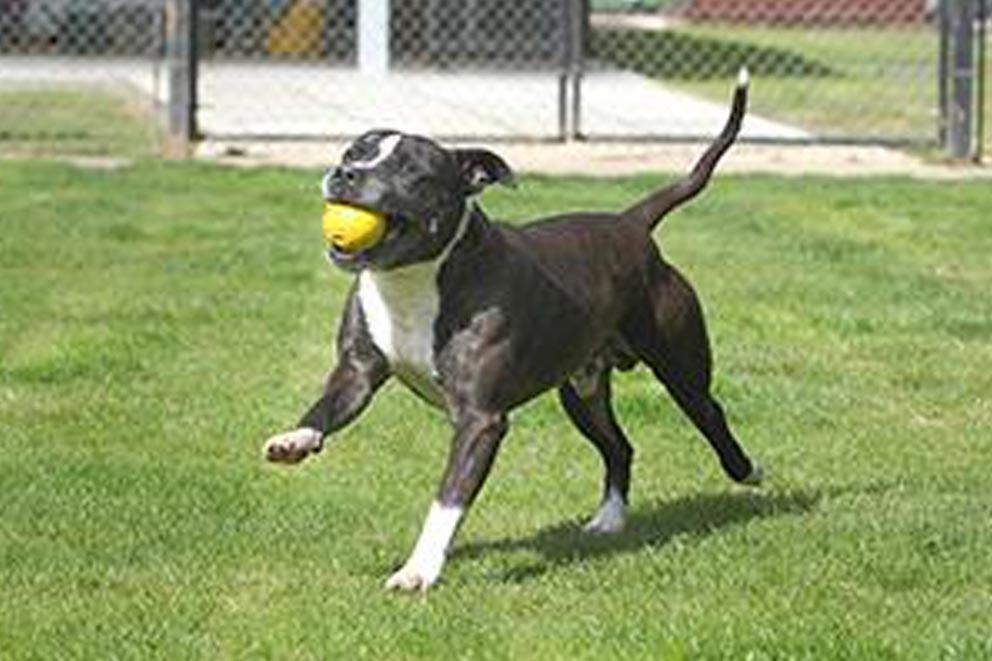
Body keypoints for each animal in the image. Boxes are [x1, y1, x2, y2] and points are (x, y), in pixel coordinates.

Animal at [262, 69, 760, 592]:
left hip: (679, 368)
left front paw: (419, 570)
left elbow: (447, 500)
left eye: (411, 171)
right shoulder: (357, 372)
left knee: (709, 413)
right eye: (351, 153)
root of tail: (631, 224)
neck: (413, 280)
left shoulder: (480, 420)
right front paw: (295, 439)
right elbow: (327, 405)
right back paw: (609, 519)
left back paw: (747, 472)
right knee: (618, 446)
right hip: (581, 393)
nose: (345, 174)